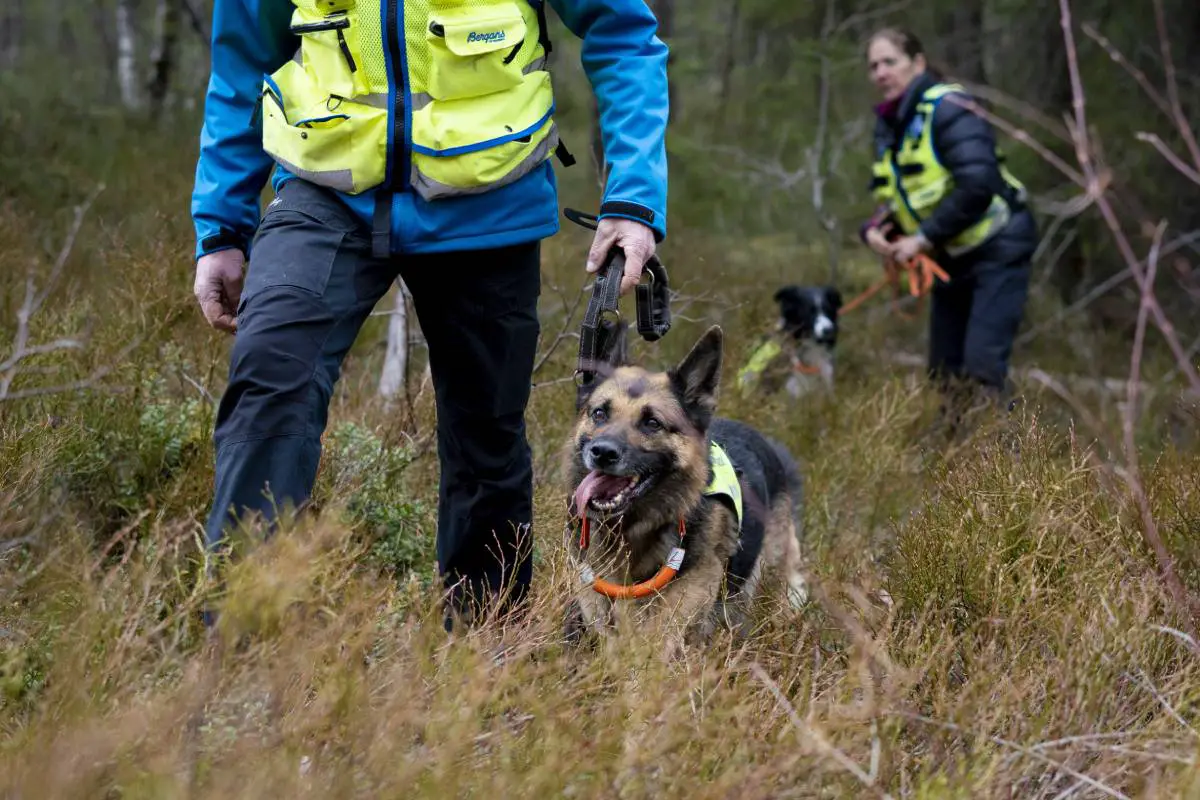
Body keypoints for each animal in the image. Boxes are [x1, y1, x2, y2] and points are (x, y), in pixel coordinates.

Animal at [559, 326, 806, 657]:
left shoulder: (692, 586)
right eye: (599, 414)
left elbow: (656, 640)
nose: (602, 452)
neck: (635, 529)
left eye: (652, 423)